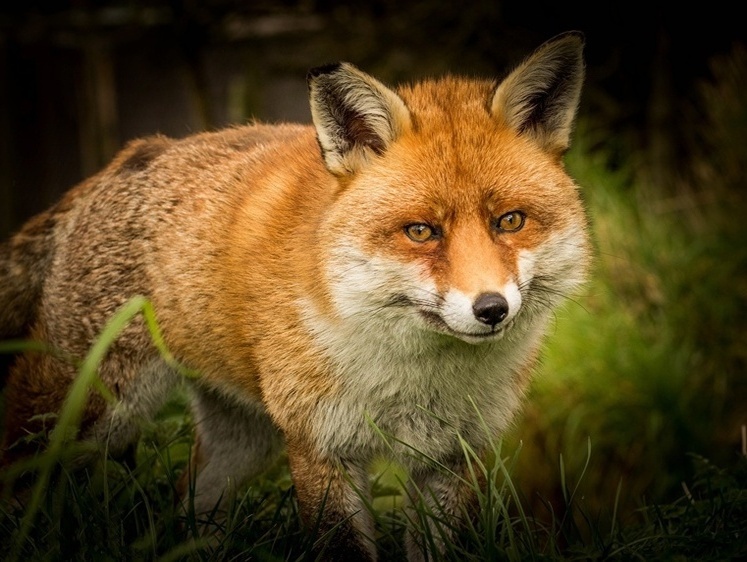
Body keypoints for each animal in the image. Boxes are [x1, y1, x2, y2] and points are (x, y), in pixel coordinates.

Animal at [0, 32, 592, 556]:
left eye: (509, 221)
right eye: (421, 231)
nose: (491, 309)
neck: (416, 381)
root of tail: (135, 153)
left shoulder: (453, 457)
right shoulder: (320, 446)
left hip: (243, 445)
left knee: (184, 510)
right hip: (81, 411)